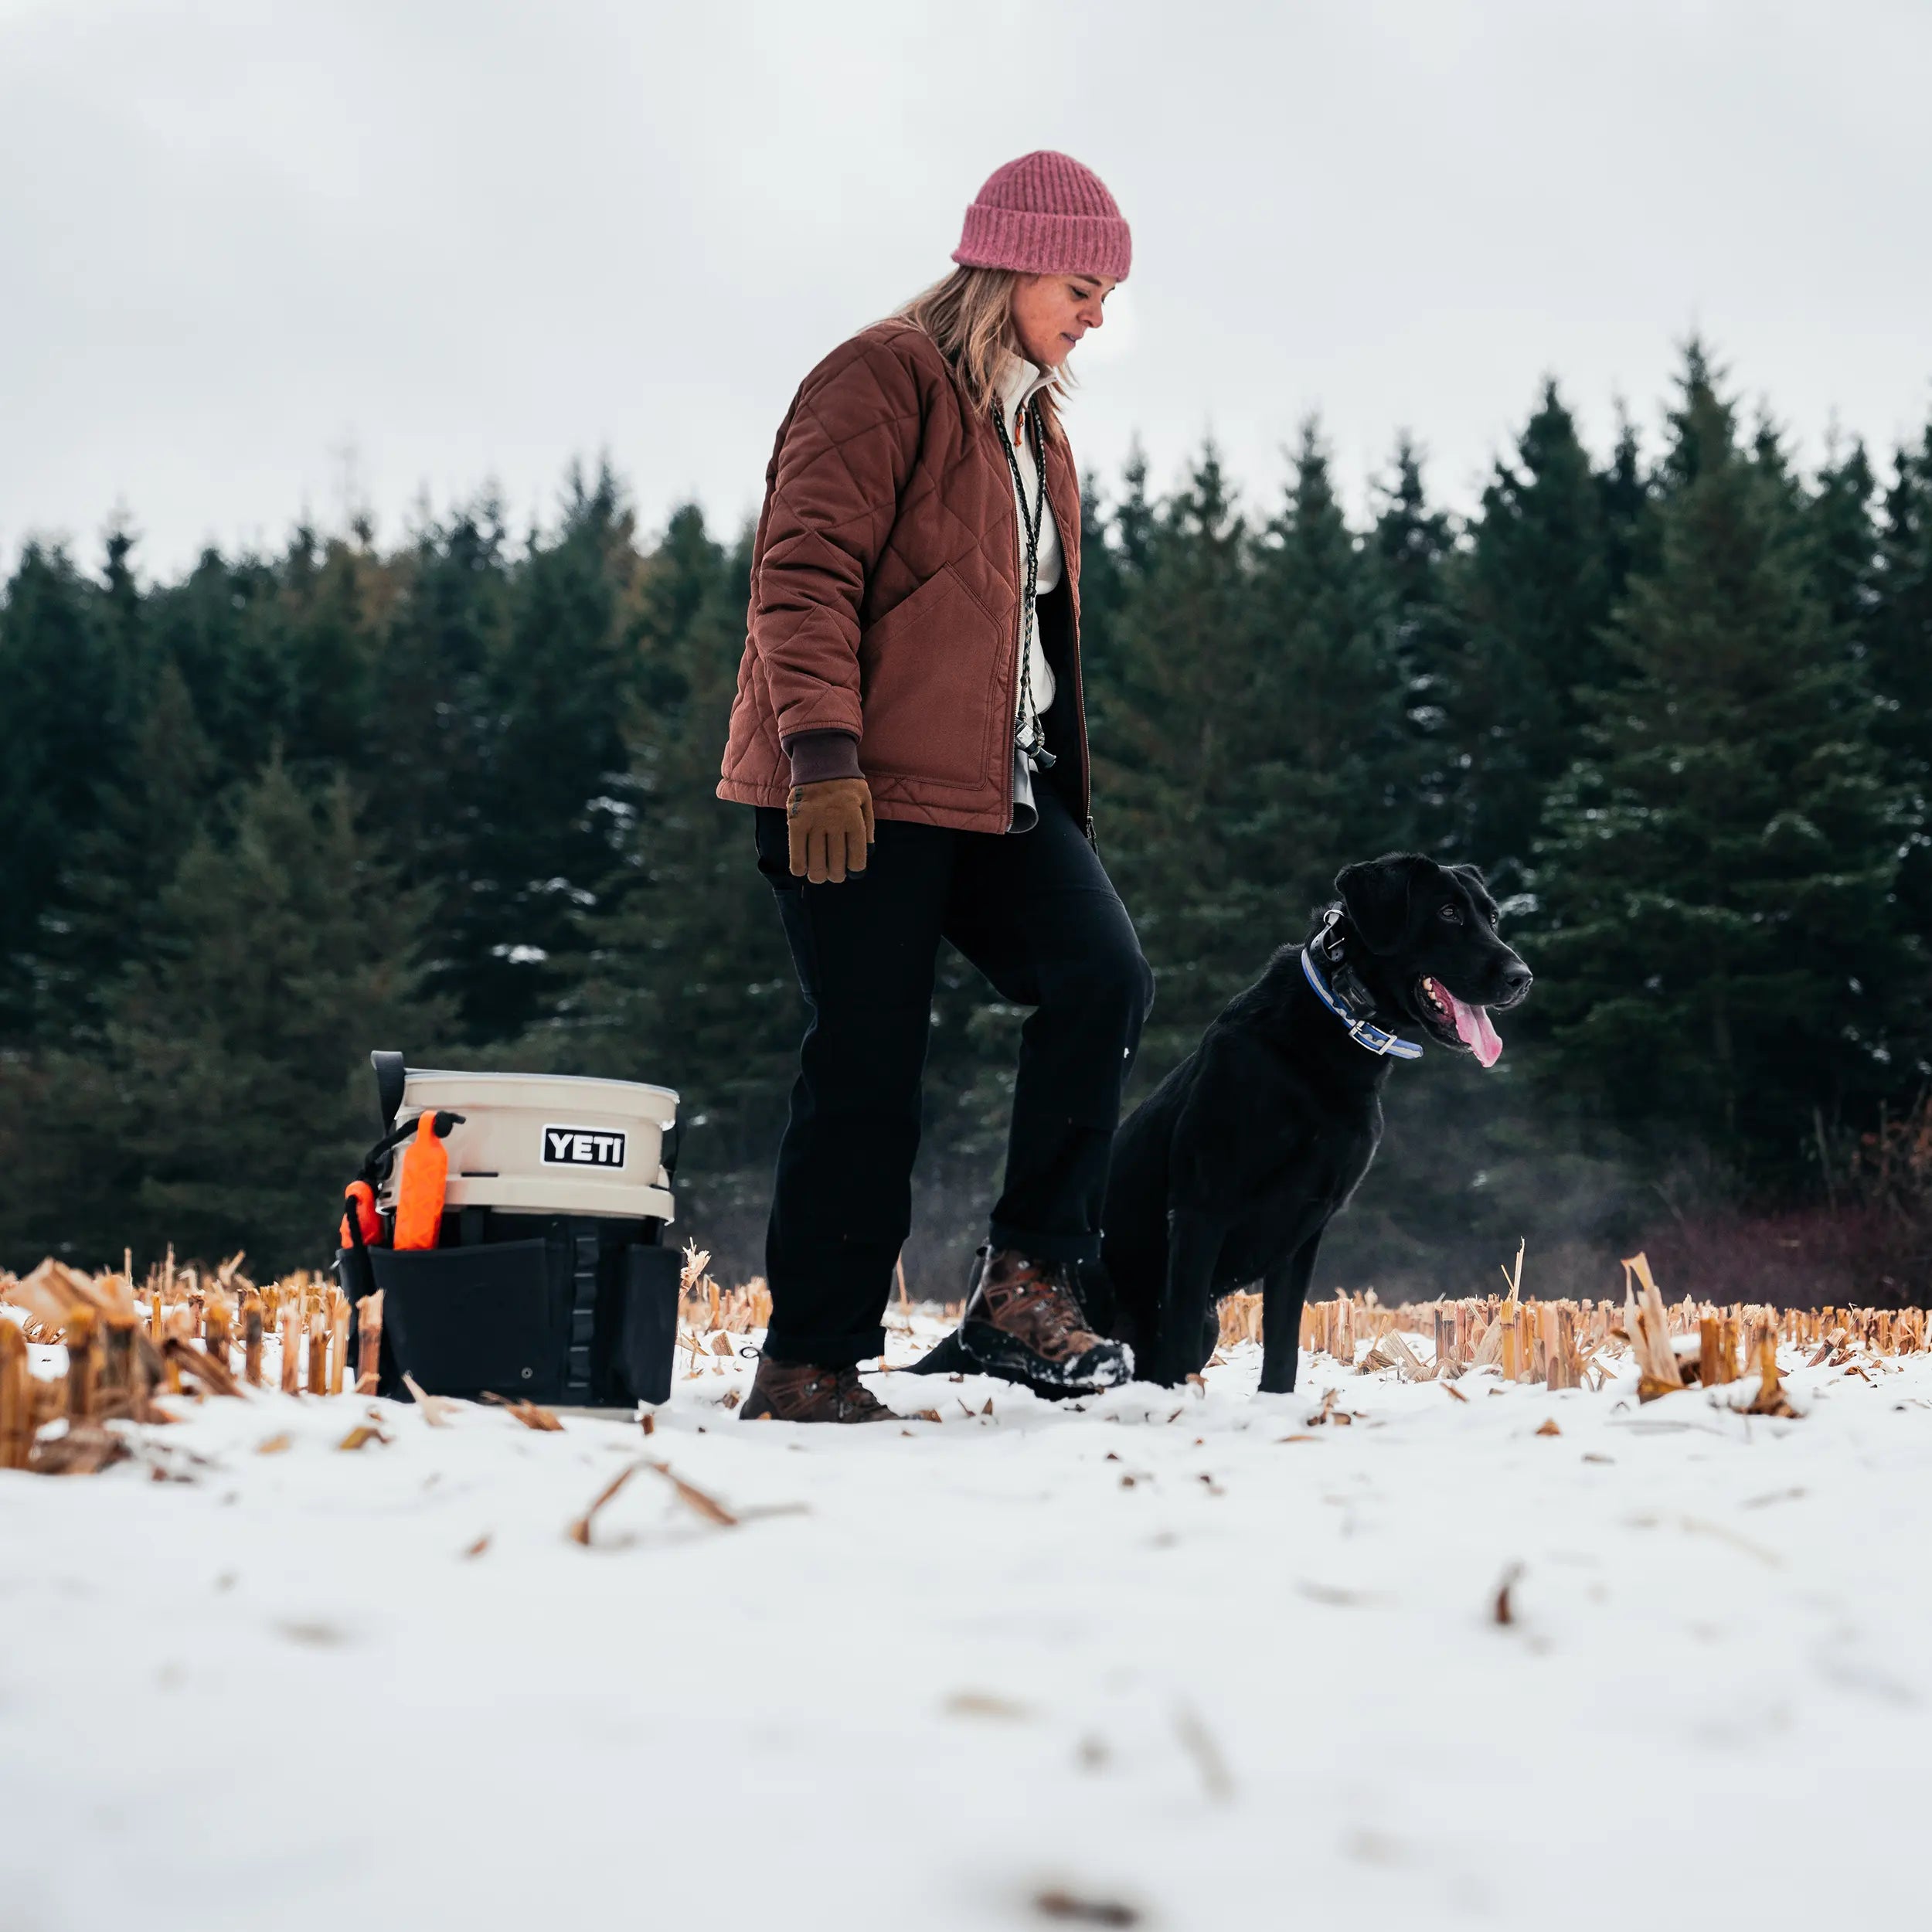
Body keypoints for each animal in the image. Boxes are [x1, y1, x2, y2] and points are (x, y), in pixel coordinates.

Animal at [1090, 858, 1522, 1391]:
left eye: (1493, 918)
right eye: (1448, 912)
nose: (1522, 977)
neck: (1338, 1021)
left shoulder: (1307, 1222)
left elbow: (1283, 1339)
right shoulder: (1200, 1209)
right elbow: (1182, 1332)